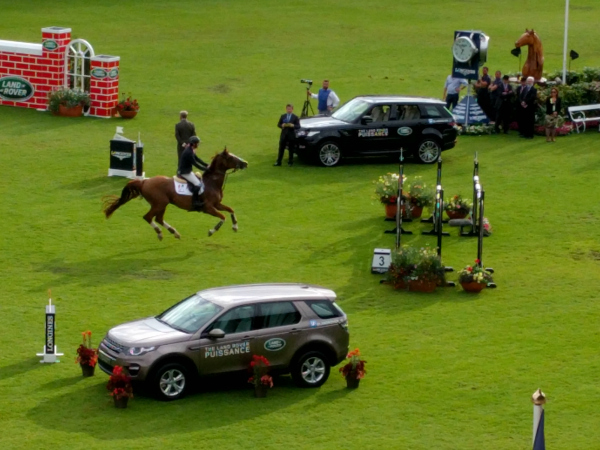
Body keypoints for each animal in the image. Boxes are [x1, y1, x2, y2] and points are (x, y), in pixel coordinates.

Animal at [103, 148, 246, 239]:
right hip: (159, 204)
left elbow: (231, 210)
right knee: (148, 217)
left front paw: (235, 227)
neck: (212, 182)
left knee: (158, 219)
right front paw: (211, 231)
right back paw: (160, 233)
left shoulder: (217, 204)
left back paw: (174, 233)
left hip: (162, 204)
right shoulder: (208, 208)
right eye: (231, 157)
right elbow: (223, 217)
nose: (245, 163)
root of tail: (145, 181)